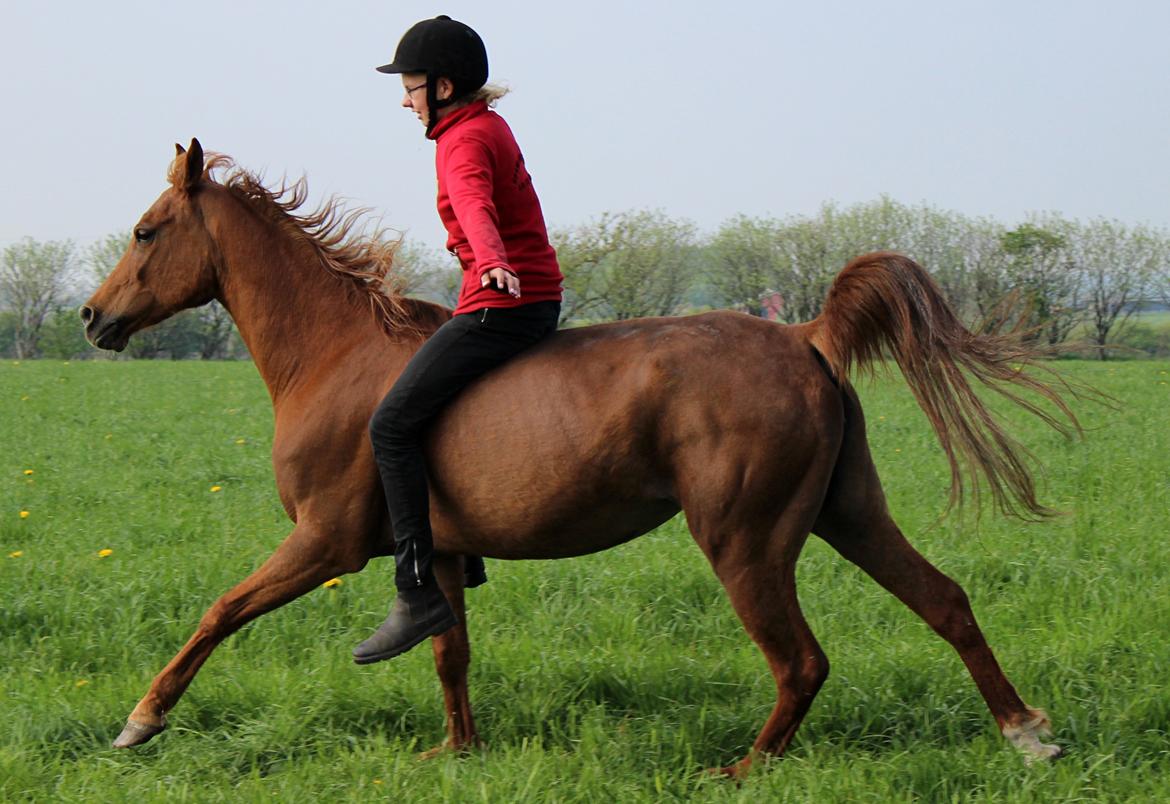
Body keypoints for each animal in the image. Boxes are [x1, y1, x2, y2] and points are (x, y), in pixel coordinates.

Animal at [77, 139, 1071, 781]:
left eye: (145, 230)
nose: (91, 318)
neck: (331, 355)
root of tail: (805, 336)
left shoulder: (324, 543)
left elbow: (219, 611)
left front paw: (139, 722)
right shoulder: (438, 551)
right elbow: (448, 652)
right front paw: (457, 752)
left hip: (745, 541)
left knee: (802, 662)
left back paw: (742, 771)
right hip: (847, 512)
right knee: (944, 601)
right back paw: (1027, 732)